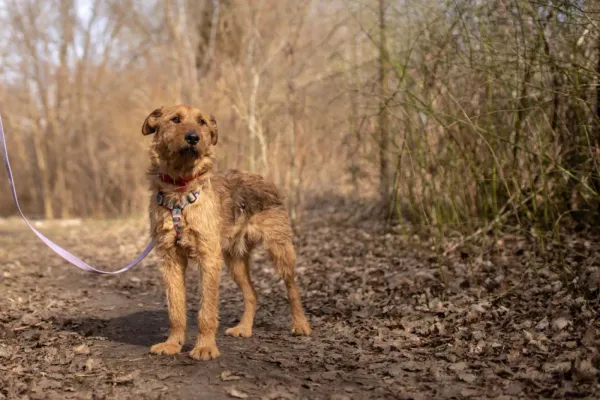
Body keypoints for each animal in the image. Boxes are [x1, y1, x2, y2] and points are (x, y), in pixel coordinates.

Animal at [143, 104, 312, 360]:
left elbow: (206, 311)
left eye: (202, 122)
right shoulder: (170, 258)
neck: (180, 191)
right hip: (235, 260)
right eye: (175, 119)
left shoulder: (209, 258)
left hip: (280, 249)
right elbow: (176, 308)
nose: (193, 138)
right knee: (252, 294)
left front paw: (205, 347)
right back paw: (244, 328)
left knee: (292, 289)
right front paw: (172, 344)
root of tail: (263, 178)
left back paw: (300, 325)